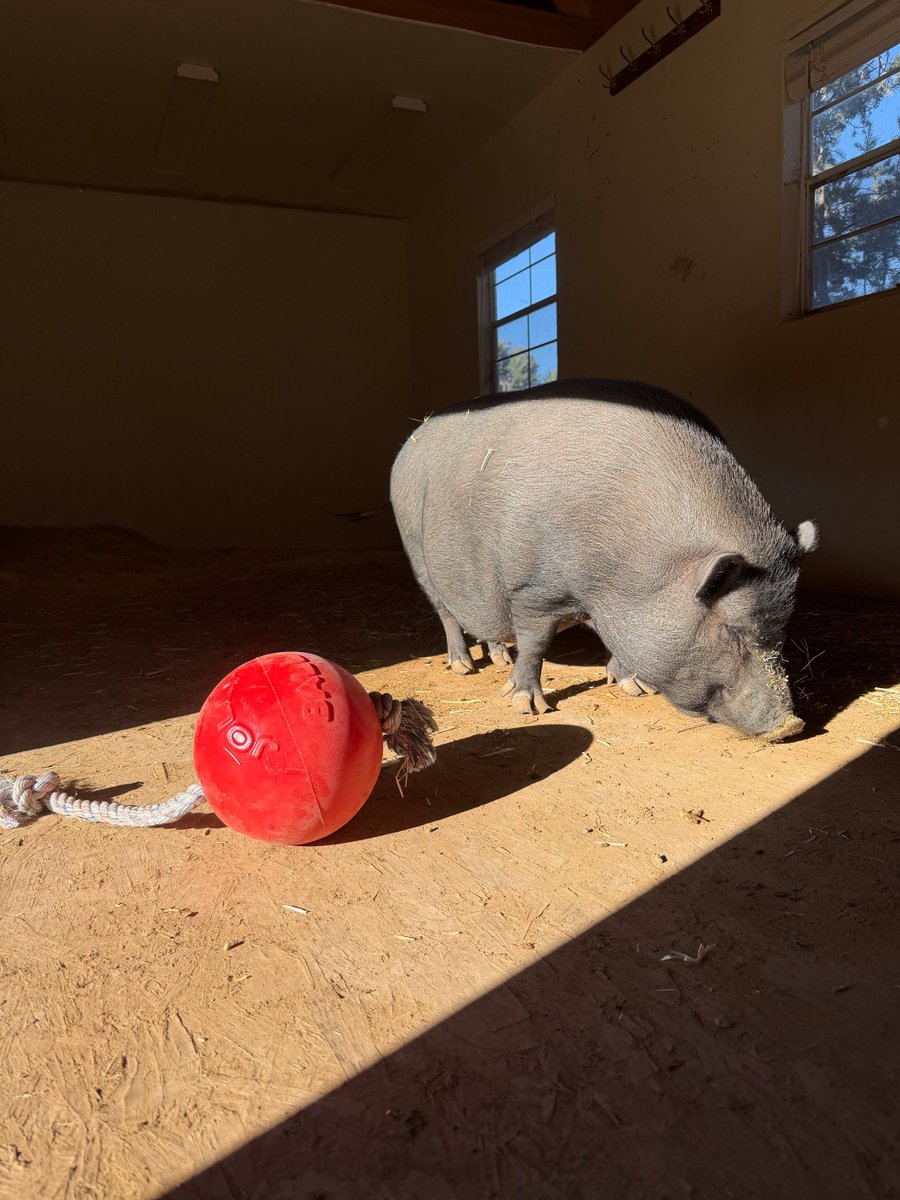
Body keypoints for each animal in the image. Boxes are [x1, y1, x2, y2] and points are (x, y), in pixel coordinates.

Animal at [390, 379, 818, 742]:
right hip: (415, 549)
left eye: (784, 623)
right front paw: (527, 705)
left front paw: (634, 688)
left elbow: (616, 643)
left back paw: (497, 657)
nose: (791, 725)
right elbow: (536, 642)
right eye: (732, 630)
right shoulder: (532, 590)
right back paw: (463, 666)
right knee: (445, 612)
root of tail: (410, 441)